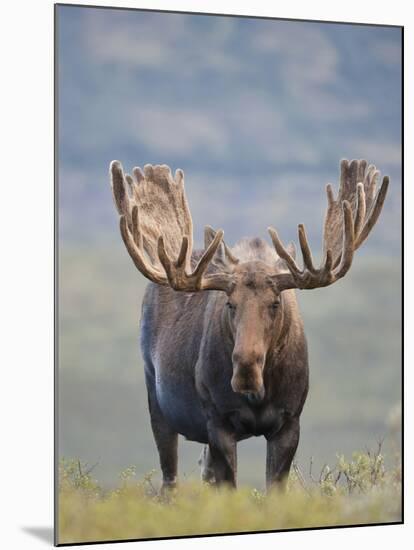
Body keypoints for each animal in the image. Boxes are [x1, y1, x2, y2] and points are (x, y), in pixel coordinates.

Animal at [109, 158, 388, 492]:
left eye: (275, 303)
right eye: (230, 304)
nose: (245, 368)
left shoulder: (289, 422)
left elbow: (272, 489)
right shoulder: (218, 421)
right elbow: (229, 487)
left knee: (203, 471)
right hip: (156, 396)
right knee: (169, 478)